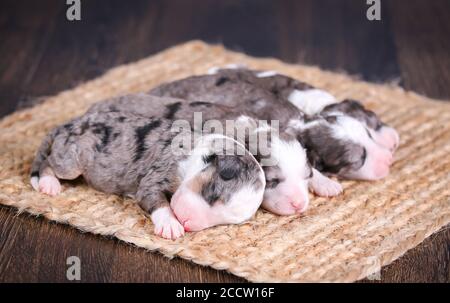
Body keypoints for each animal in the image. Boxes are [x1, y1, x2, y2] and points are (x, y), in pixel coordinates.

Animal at [29, 110, 266, 239]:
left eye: (224, 223)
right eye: (212, 194)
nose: (187, 223)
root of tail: (70, 123)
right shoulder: (157, 175)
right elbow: (158, 202)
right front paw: (171, 226)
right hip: (72, 160)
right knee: (49, 163)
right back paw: (49, 184)